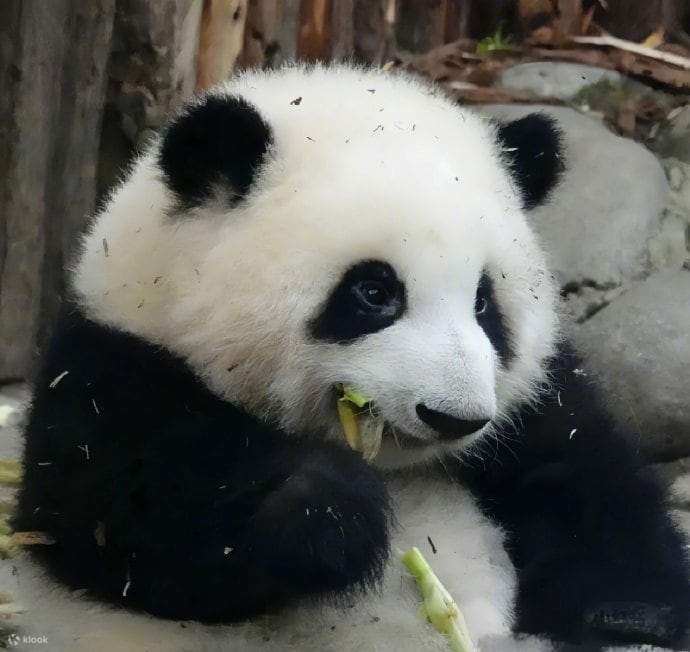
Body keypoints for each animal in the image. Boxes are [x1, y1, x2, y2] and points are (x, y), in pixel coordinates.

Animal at [10, 64, 690, 651]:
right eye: (373, 292)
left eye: (484, 302)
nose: (455, 417)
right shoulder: (109, 365)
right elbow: (120, 523)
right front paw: (333, 509)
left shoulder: (533, 403)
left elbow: (590, 483)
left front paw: (634, 615)